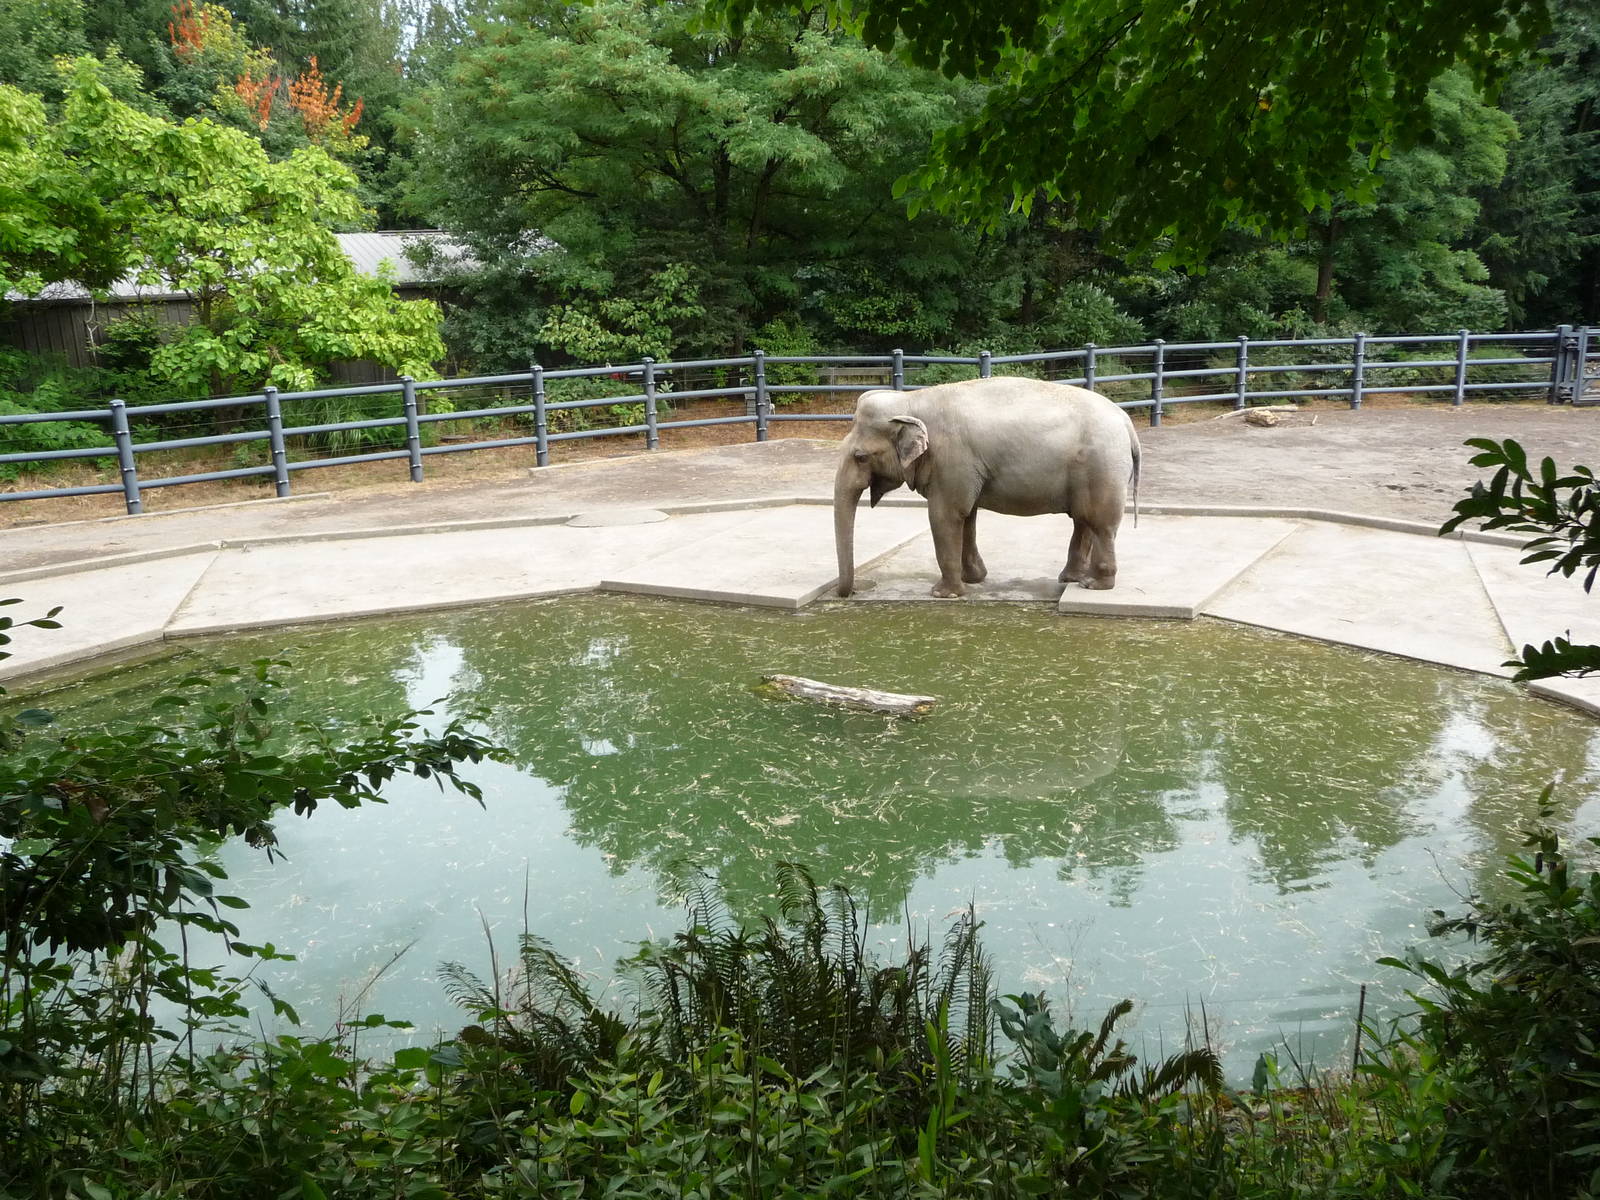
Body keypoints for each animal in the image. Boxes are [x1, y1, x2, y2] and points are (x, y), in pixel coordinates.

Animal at [833, 376, 1141, 598]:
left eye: (860, 457)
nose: (850, 593)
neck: (911, 400)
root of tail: (1127, 423)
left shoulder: (951, 459)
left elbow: (945, 515)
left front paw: (943, 594)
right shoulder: (963, 470)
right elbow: (967, 516)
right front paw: (974, 579)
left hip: (1102, 467)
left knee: (1100, 523)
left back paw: (1094, 585)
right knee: (1083, 520)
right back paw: (1071, 579)